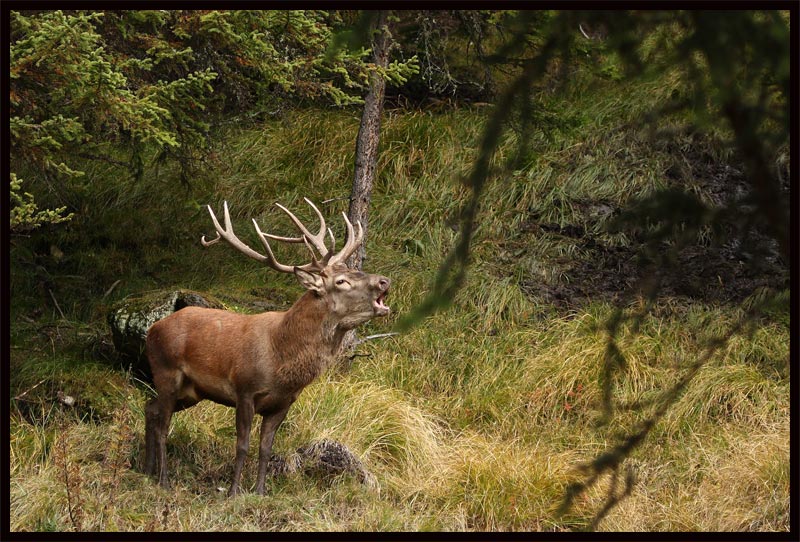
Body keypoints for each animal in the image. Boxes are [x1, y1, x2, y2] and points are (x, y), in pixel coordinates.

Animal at [143, 198, 391, 496]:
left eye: (355, 271)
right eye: (341, 282)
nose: (384, 281)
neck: (280, 361)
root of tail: (152, 329)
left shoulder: (283, 403)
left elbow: (265, 448)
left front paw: (260, 492)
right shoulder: (245, 389)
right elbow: (242, 445)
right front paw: (233, 492)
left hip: (192, 391)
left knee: (150, 408)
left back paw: (145, 469)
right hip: (166, 371)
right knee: (162, 425)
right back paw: (163, 480)